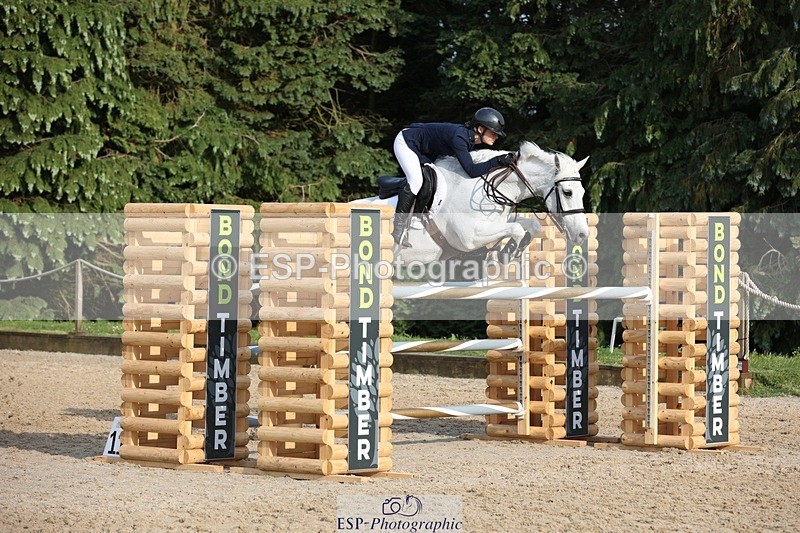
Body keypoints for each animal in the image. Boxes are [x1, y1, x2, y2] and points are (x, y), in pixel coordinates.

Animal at [354, 141, 590, 265]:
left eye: (582, 192)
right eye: (568, 192)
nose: (582, 235)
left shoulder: (496, 224)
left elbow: (530, 225)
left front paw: (510, 250)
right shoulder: (468, 237)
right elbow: (516, 228)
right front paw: (509, 251)